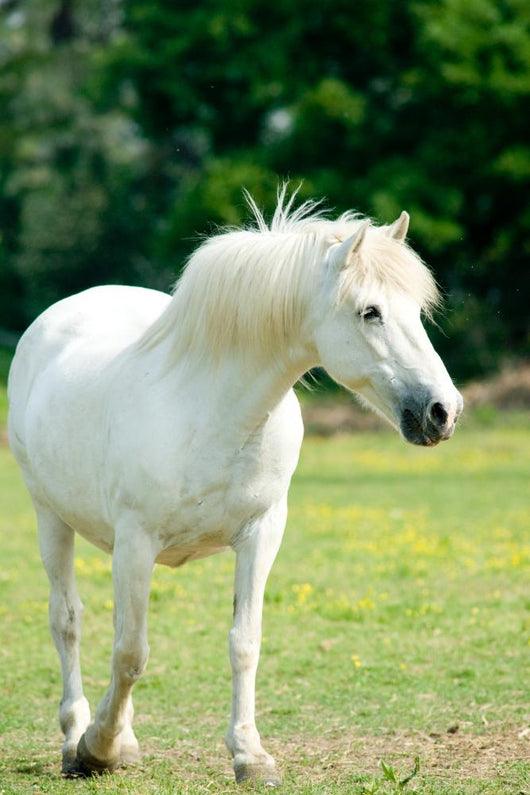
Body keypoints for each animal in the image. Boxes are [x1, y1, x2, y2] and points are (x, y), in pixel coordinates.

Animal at [7, 188, 463, 786]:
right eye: (370, 311)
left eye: (417, 310)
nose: (443, 411)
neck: (215, 411)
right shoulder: (135, 543)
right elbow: (130, 652)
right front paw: (98, 748)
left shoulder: (262, 533)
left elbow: (243, 643)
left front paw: (250, 756)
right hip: (50, 518)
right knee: (68, 622)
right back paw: (75, 738)